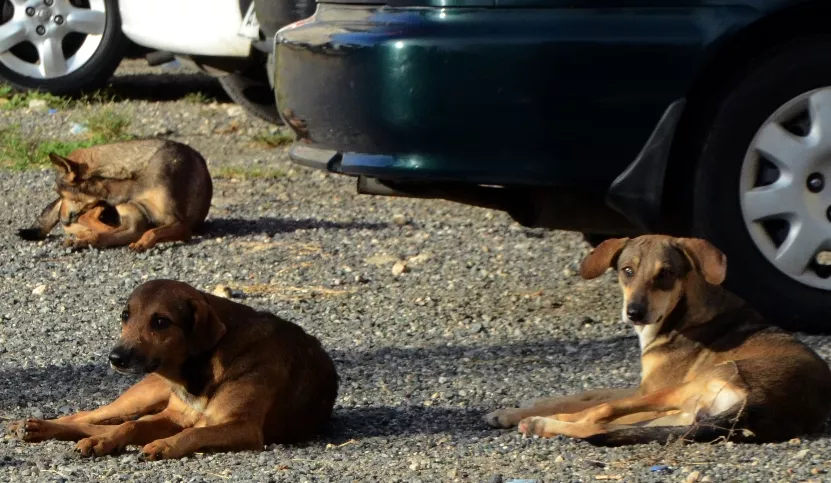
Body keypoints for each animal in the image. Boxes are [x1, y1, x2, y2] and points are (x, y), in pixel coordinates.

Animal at [10, 280, 338, 462]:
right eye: (125, 316)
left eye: (160, 322)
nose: (115, 357)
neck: (199, 372)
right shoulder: (172, 416)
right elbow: (130, 427)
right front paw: (108, 442)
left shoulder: (242, 428)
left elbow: (192, 432)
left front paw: (164, 446)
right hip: (141, 396)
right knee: (90, 417)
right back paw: (38, 426)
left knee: (102, 422)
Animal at [17, 138, 211, 253]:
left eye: (61, 193)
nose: (62, 219)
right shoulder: (133, 225)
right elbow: (104, 235)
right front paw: (85, 241)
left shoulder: (180, 224)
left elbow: (152, 231)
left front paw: (142, 243)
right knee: (90, 219)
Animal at [484, 235, 831, 446]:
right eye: (627, 270)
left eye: (666, 274)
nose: (635, 312)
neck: (683, 312)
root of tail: (764, 404)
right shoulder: (643, 388)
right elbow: (582, 393)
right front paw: (515, 409)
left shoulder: (646, 389)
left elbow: (589, 402)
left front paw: (521, 413)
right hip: (681, 414)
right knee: (606, 426)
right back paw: (540, 422)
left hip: (678, 393)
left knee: (600, 416)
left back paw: (541, 423)